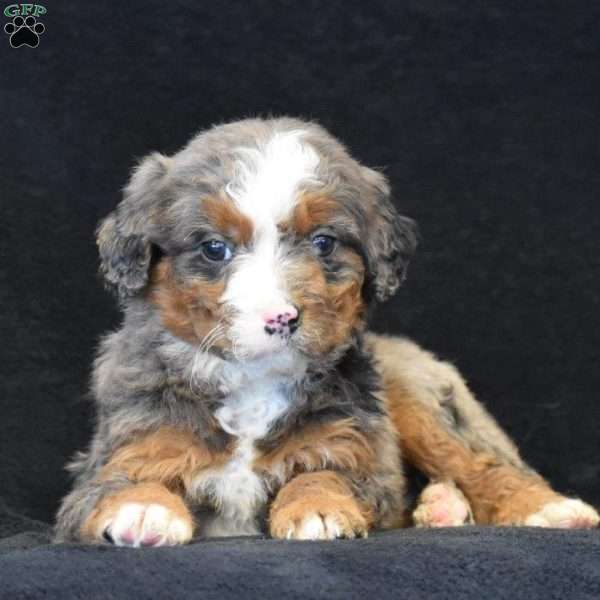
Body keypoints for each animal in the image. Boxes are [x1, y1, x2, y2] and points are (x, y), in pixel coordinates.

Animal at [55, 118, 596, 548]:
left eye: (323, 243)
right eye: (214, 248)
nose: (282, 318)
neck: (254, 384)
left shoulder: (350, 449)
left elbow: (325, 475)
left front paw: (316, 508)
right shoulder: (126, 448)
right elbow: (123, 480)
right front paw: (143, 507)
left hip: (415, 394)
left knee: (480, 462)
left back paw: (546, 509)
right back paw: (443, 508)